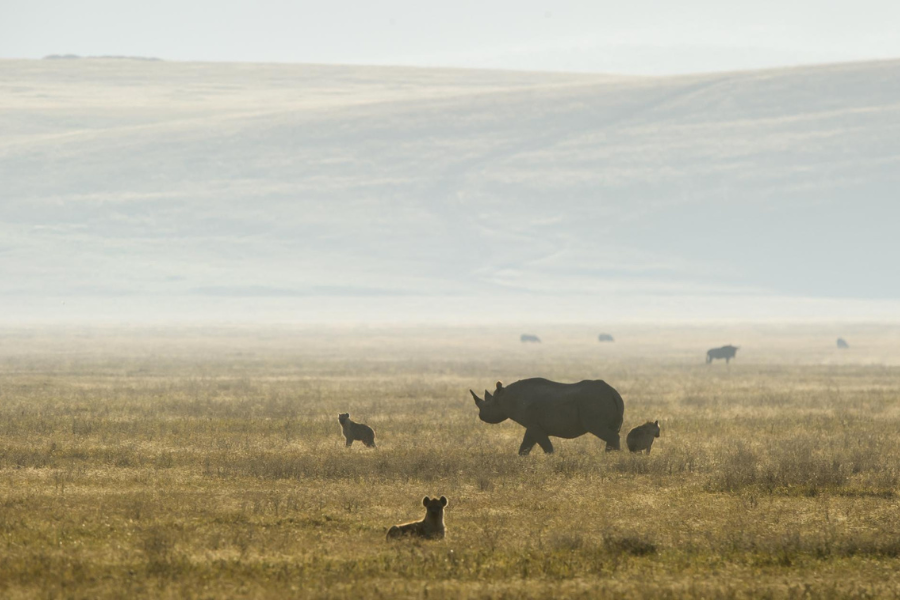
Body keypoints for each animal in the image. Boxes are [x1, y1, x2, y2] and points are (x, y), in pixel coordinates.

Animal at [470, 379, 625, 454]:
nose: (481, 416)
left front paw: (551, 459)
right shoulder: (532, 425)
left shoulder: (534, 425)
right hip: (604, 401)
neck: (505, 397)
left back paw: (611, 457)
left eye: (488, 406)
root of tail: (614, 393)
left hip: (593, 402)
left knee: (601, 430)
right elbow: (525, 445)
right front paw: (521, 459)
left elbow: (546, 446)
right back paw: (609, 456)